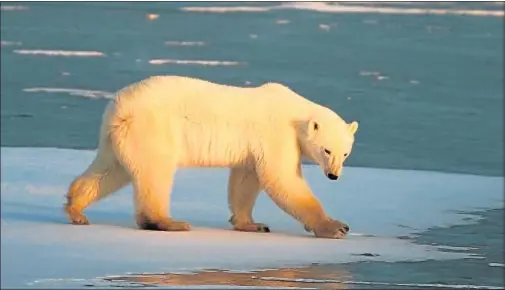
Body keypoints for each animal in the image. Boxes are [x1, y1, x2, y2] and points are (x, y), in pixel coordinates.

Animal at [65, 76, 358, 239]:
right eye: (327, 150)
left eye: (345, 152)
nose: (334, 175)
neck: (295, 112)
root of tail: (119, 106)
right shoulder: (277, 134)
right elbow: (283, 179)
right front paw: (336, 227)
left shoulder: (253, 146)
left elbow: (245, 180)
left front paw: (251, 224)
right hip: (153, 128)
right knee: (156, 173)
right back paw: (169, 222)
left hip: (119, 136)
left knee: (109, 170)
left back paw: (76, 210)